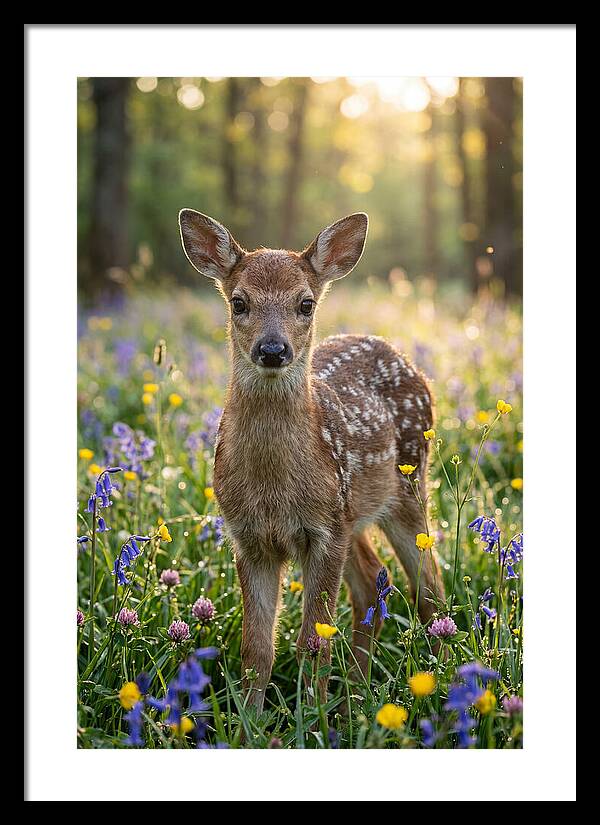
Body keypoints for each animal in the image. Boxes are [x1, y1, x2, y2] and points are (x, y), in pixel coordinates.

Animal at [178, 209, 444, 713]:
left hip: (405, 487)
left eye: (305, 303)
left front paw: (311, 718)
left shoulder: (323, 531)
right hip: (353, 513)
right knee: (372, 582)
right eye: (239, 302)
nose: (272, 349)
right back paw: (356, 695)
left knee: (430, 590)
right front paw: (250, 720)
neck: (273, 488)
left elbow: (313, 641)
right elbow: (256, 648)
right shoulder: (249, 537)